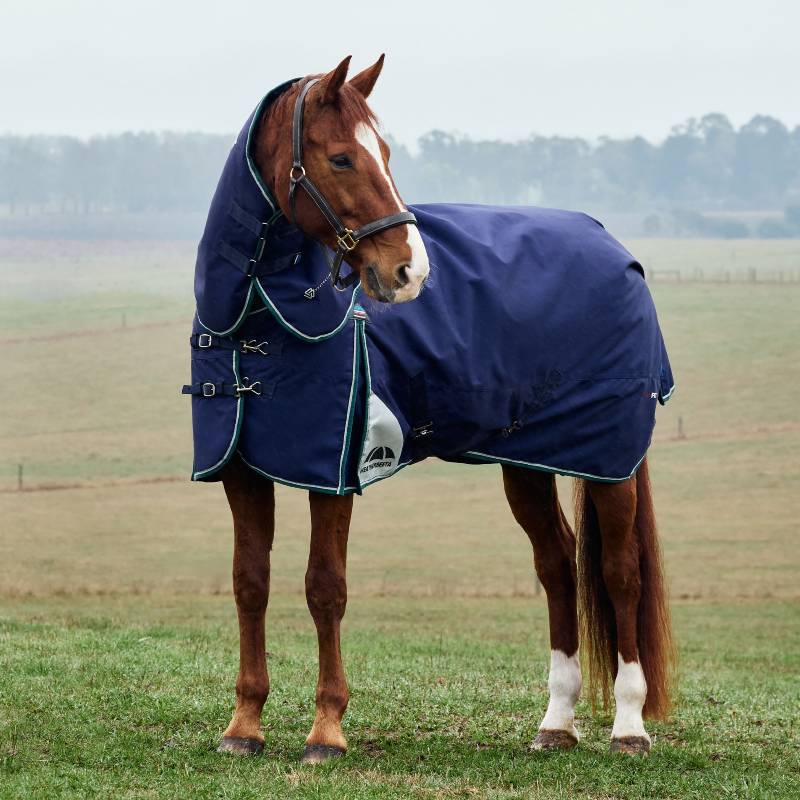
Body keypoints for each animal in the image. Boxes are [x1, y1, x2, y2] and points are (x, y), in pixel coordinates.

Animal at [186, 55, 675, 763]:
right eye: (340, 158)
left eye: (384, 153)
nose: (409, 271)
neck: (257, 320)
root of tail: (619, 253)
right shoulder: (242, 470)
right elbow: (250, 582)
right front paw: (244, 725)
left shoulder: (333, 474)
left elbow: (324, 588)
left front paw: (326, 731)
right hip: (526, 460)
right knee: (557, 565)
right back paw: (556, 722)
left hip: (609, 460)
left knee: (619, 571)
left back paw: (629, 726)